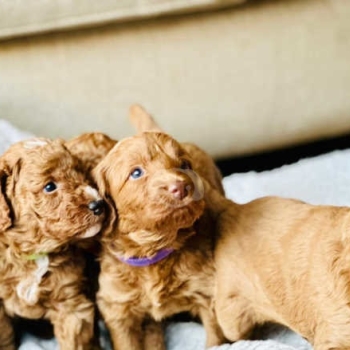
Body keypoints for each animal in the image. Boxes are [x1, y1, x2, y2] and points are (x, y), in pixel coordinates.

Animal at [91, 131, 226, 350]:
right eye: (136, 173)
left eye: (184, 165)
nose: (181, 186)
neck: (154, 249)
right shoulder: (117, 307)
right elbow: (126, 343)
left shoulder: (207, 292)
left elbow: (217, 336)